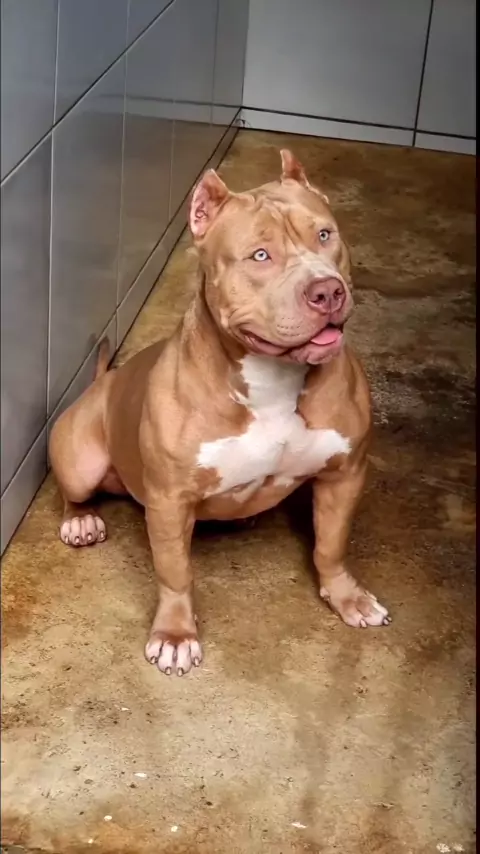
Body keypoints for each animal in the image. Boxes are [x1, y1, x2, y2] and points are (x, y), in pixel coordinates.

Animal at [49, 149, 390, 677]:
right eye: (260, 256)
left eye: (325, 235)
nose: (327, 291)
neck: (274, 379)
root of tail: (104, 380)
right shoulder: (169, 500)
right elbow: (175, 572)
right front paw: (175, 634)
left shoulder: (345, 471)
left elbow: (331, 545)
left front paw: (346, 596)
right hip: (81, 460)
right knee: (75, 492)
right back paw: (80, 520)